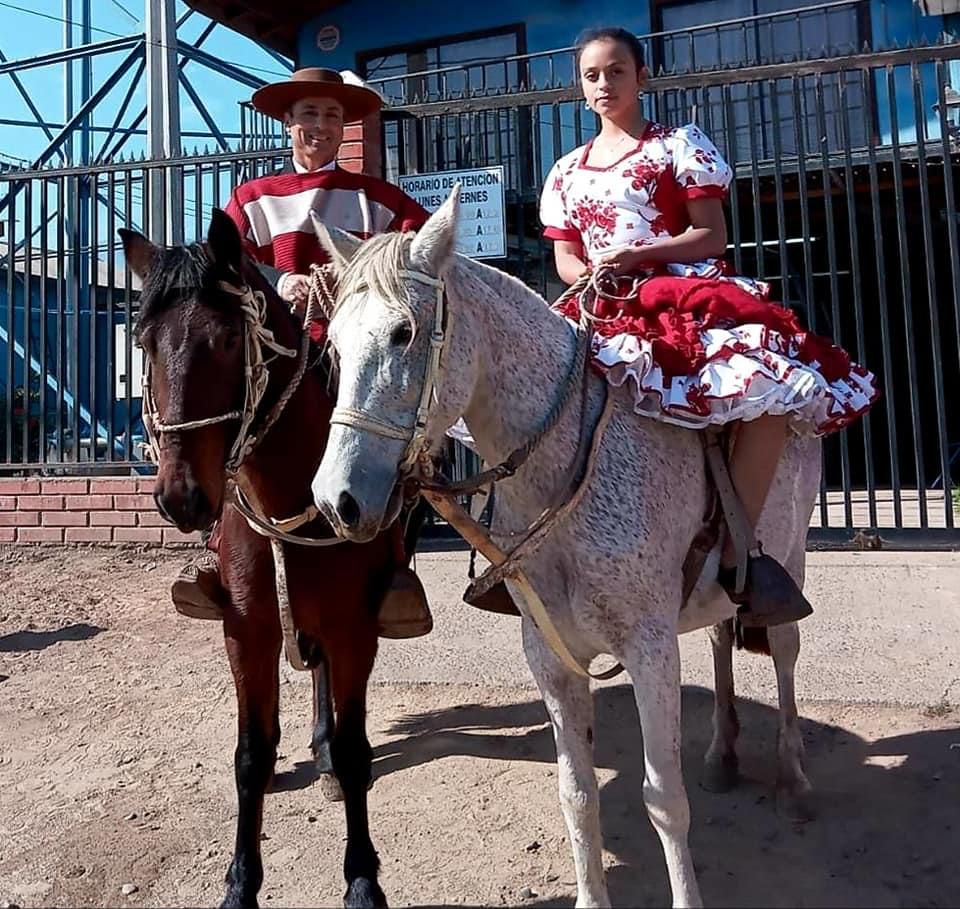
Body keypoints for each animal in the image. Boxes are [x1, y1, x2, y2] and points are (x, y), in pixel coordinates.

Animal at [122, 213, 400, 908]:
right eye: (143, 342)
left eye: (226, 339)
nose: (181, 497)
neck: (291, 492)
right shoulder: (246, 629)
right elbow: (250, 756)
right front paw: (240, 883)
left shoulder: (354, 627)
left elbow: (356, 752)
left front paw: (362, 879)